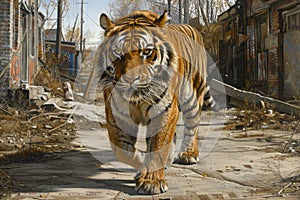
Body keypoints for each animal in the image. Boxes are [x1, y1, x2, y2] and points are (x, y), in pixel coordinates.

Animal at [97, 10, 212, 194]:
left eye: (146, 52)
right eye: (117, 52)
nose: (130, 80)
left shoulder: (165, 110)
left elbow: (158, 145)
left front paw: (151, 182)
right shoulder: (116, 115)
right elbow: (122, 150)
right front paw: (142, 169)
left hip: (192, 97)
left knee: (192, 126)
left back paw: (188, 154)